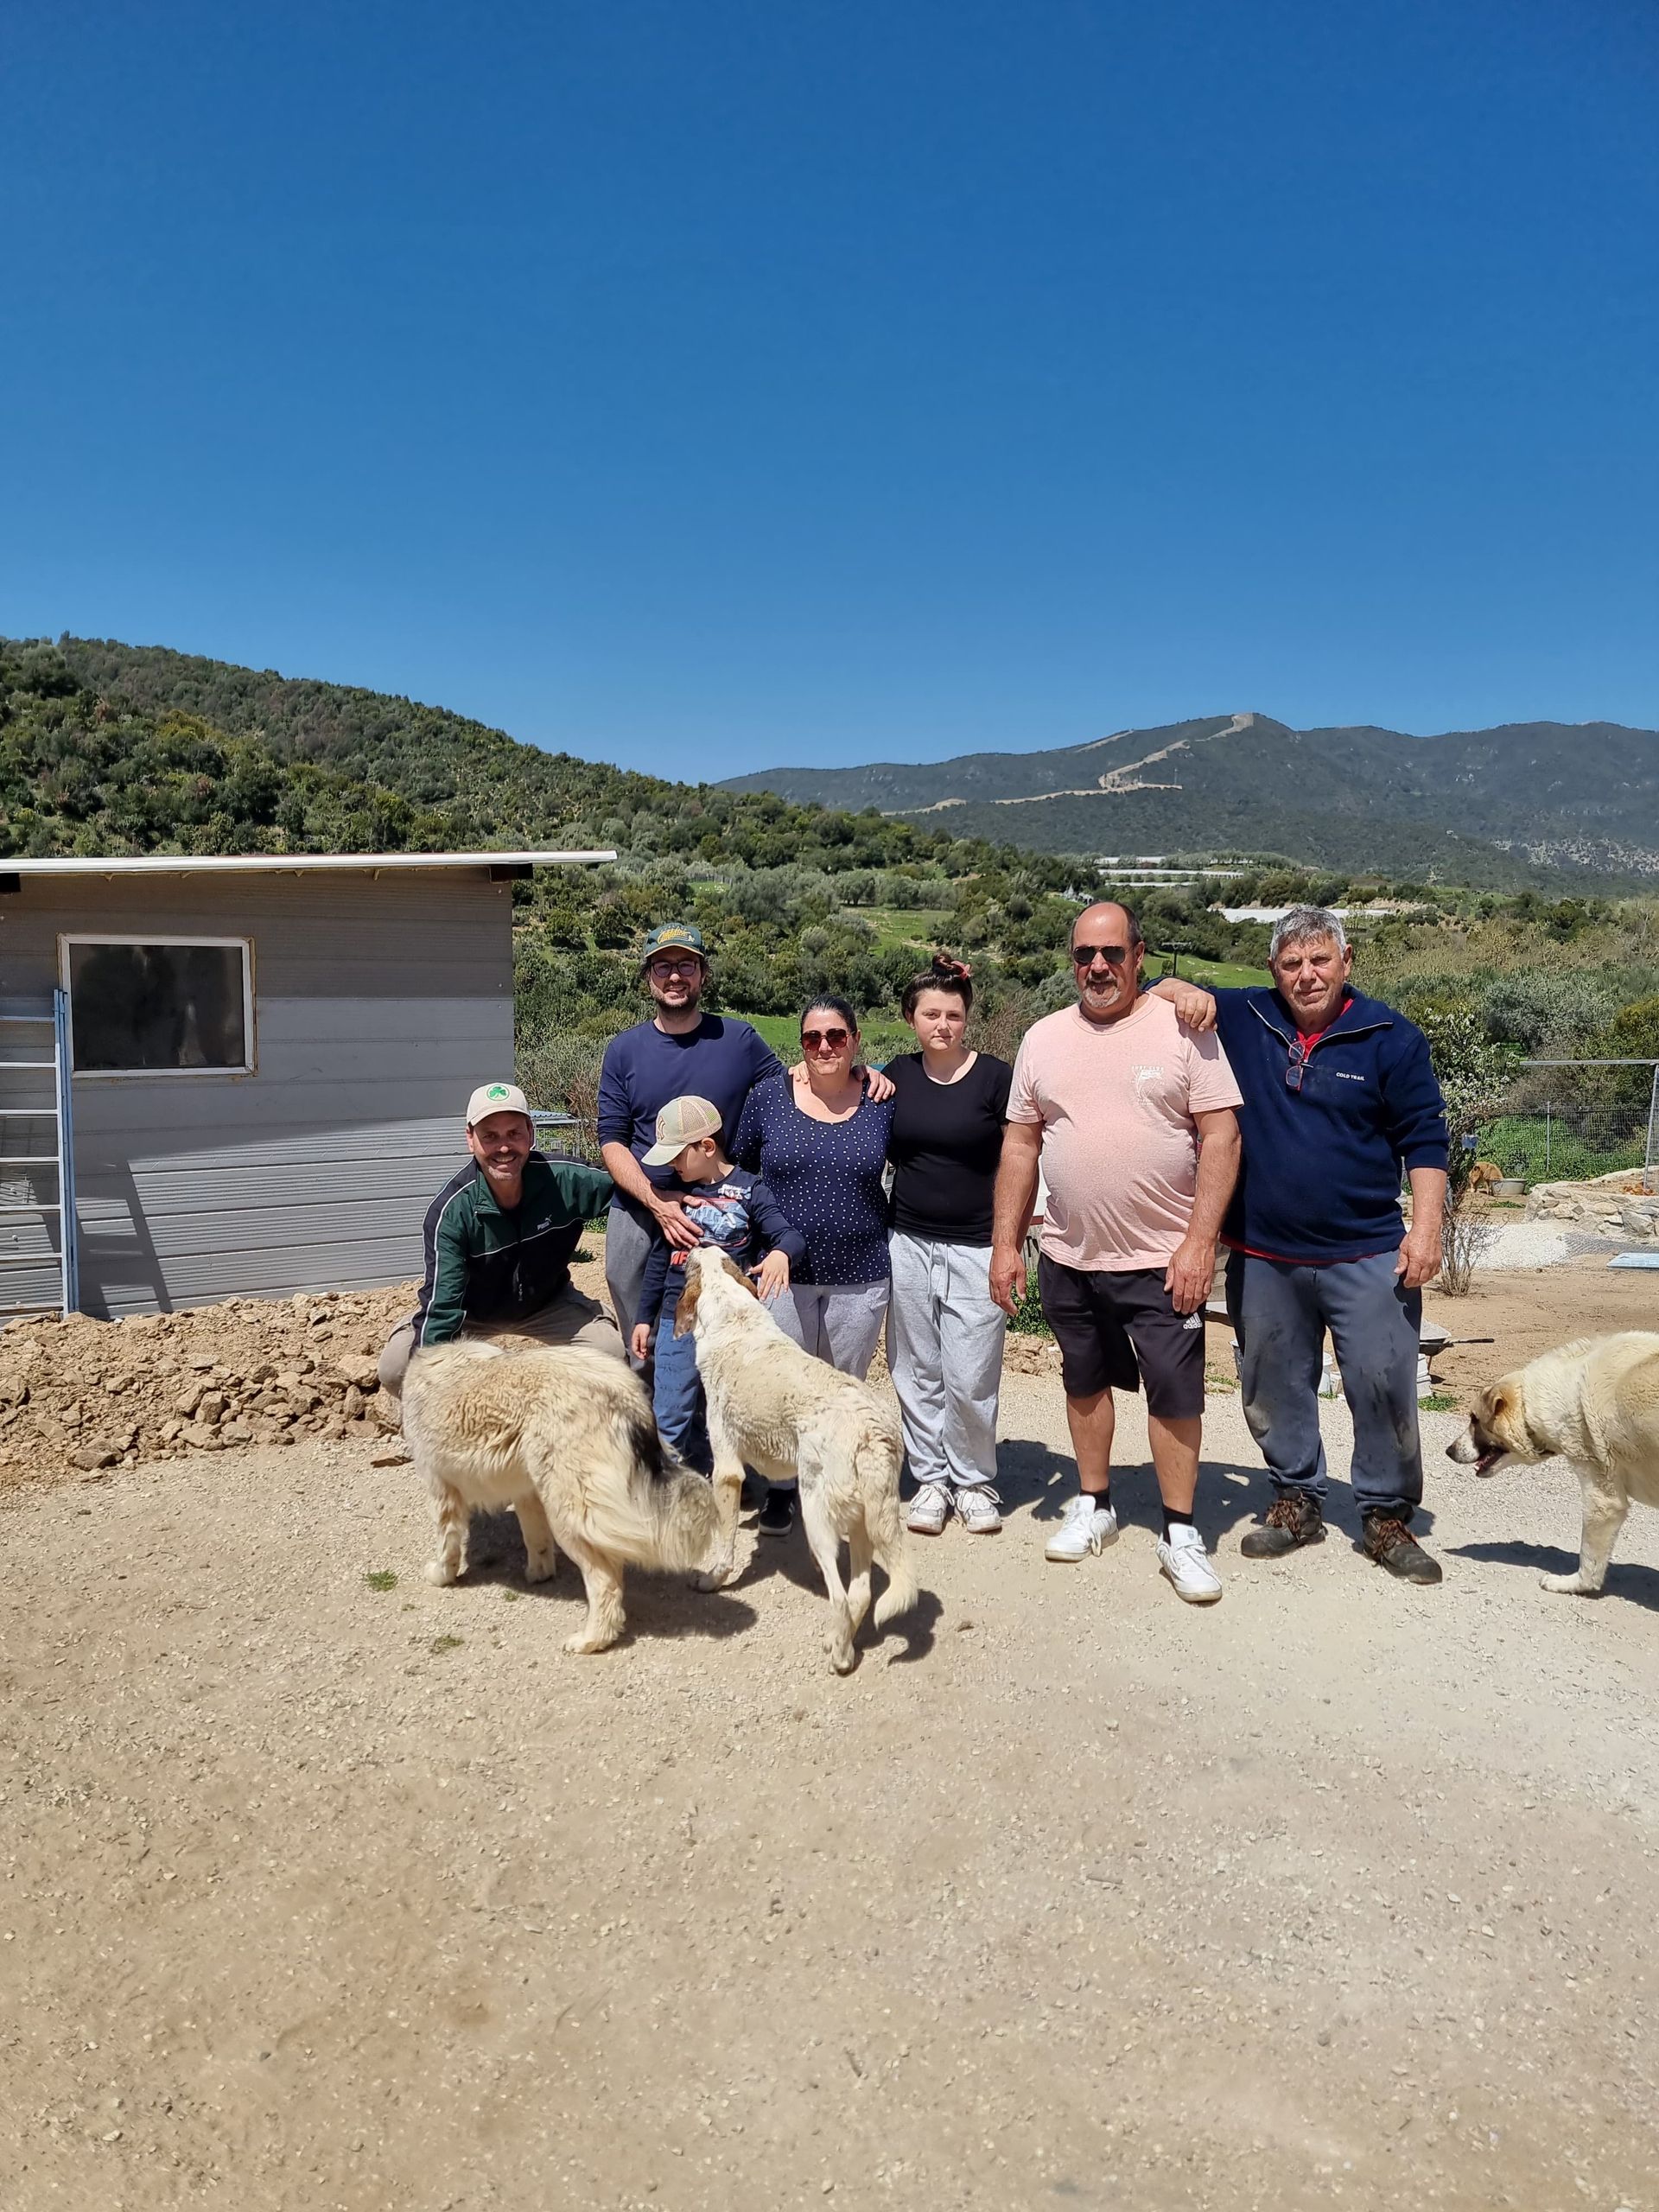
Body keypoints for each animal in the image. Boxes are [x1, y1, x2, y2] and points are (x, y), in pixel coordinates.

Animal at [400, 1339, 720, 1653]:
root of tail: (625, 1396)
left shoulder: (441, 1489)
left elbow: (448, 1545)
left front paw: (441, 1575)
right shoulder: (526, 1492)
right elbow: (536, 1540)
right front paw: (538, 1574)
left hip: (569, 1514)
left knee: (606, 1582)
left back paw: (593, 1640)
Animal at [673, 1248, 919, 1672]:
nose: (690, 1246)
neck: (734, 1317)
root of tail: (872, 1433)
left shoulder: (726, 1471)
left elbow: (725, 1543)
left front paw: (712, 1580)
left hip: (817, 1512)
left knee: (842, 1596)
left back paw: (839, 1655)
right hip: (862, 1523)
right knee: (860, 1594)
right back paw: (841, 1644)